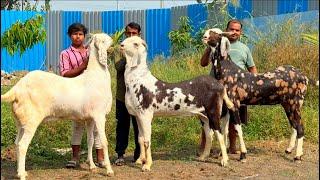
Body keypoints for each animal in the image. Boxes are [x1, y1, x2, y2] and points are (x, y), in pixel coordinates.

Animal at [0, 32, 114, 179]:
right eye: (105, 39)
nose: (114, 39)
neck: (95, 75)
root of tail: (17, 88)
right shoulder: (99, 116)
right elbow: (104, 142)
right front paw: (109, 170)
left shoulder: (89, 118)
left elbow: (90, 141)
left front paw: (92, 167)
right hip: (31, 121)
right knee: (22, 145)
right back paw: (22, 175)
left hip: (20, 122)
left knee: (16, 143)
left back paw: (21, 172)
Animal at [120, 35, 235, 172]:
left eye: (135, 43)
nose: (121, 45)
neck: (138, 79)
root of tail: (220, 85)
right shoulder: (138, 116)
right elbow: (140, 139)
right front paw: (139, 160)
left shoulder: (146, 115)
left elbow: (147, 141)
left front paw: (147, 165)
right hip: (204, 116)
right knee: (209, 135)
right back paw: (203, 157)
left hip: (213, 113)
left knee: (220, 134)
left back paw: (224, 160)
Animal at [201, 27, 318, 162]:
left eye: (217, 34)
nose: (204, 37)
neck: (227, 70)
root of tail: (304, 76)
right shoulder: (226, 108)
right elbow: (224, 131)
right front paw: (221, 154)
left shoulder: (234, 104)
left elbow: (238, 129)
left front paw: (243, 154)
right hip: (287, 105)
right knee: (294, 125)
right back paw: (289, 150)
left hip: (296, 103)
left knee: (300, 127)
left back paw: (298, 155)